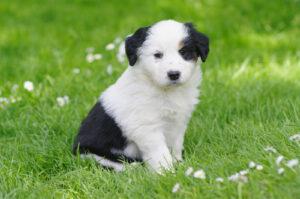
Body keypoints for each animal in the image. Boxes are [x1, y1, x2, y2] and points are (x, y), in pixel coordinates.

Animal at [73, 19, 209, 173]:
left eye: (183, 52)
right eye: (157, 55)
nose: (174, 74)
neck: (166, 91)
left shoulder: (179, 123)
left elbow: (176, 145)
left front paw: (178, 163)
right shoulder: (147, 127)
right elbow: (160, 154)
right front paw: (167, 173)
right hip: (91, 154)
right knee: (115, 164)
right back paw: (135, 167)